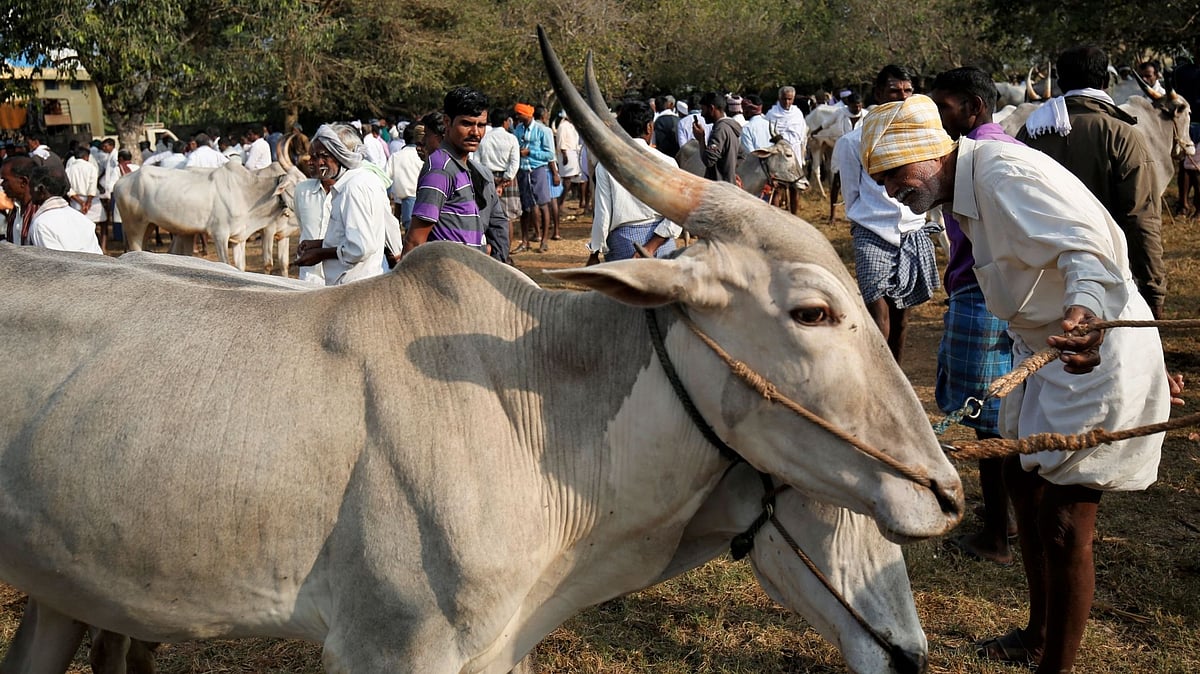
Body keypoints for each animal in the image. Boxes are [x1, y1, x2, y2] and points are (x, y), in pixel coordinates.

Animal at [112, 145, 306, 275]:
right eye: (297, 184)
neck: (246, 192)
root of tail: (121, 181)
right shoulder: (220, 235)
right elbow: (227, 264)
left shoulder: (239, 239)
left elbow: (240, 267)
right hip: (134, 227)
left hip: (150, 225)